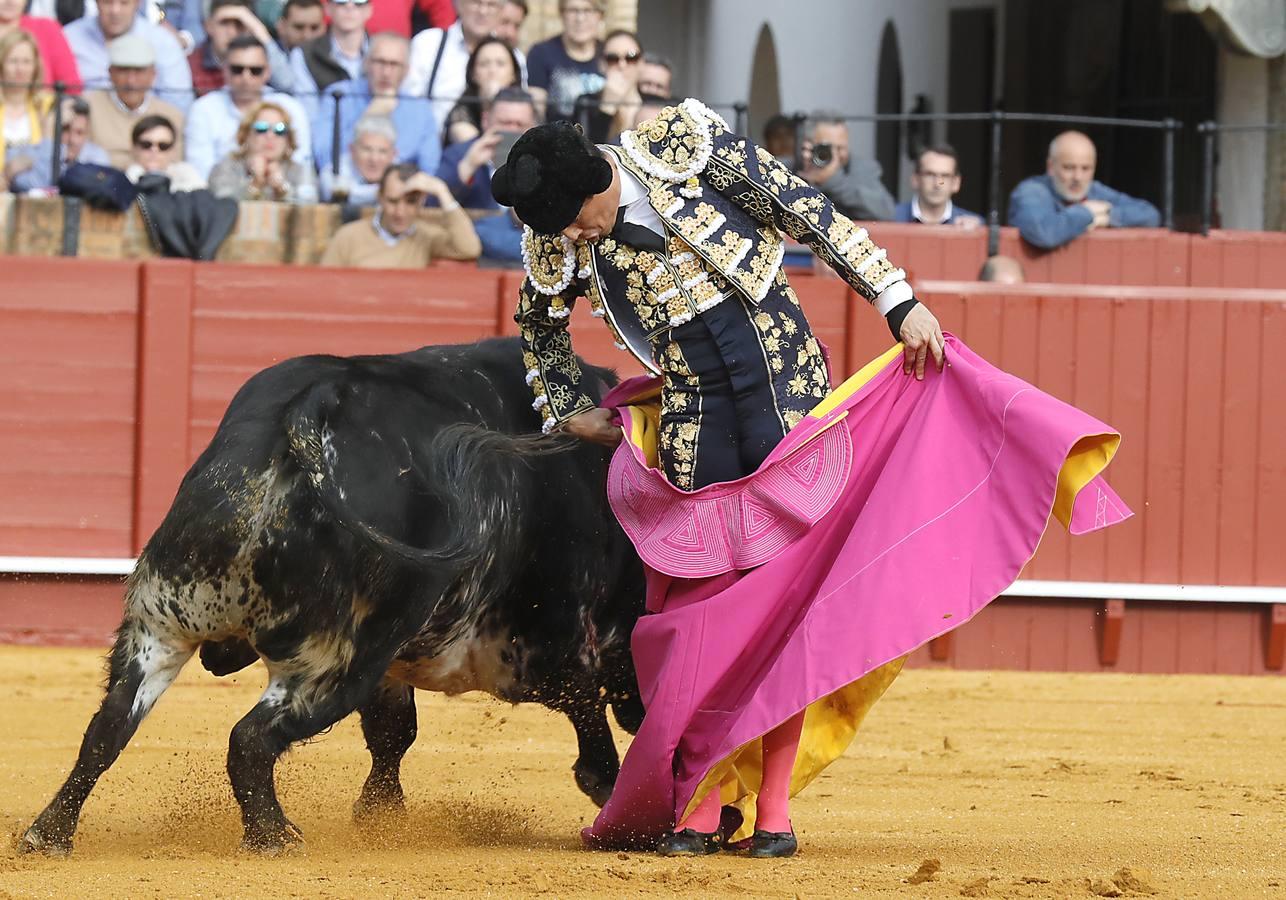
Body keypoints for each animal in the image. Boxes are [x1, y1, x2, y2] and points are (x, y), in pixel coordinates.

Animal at [23, 339, 653, 858]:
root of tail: (313, 405)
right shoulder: (556, 644)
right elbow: (586, 721)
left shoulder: (400, 659)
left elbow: (393, 732)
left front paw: (380, 817)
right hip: (334, 662)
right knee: (249, 739)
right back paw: (274, 838)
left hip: (161, 622)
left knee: (107, 728)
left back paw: (48, 834)